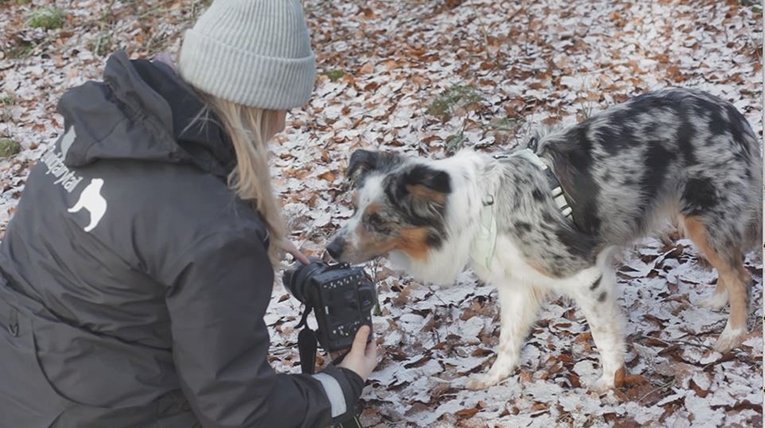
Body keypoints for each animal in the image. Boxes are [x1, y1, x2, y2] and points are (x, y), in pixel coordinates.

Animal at [326, 88, 760, 392]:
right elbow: (507, 339)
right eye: (355, 208)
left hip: (703, 217)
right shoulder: (517, 283)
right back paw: (716, 301)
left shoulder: (585, 272)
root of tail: (730, 112)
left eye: (377, 219)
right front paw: (495, 378)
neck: (479, 208)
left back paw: (731, 335)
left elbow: (603, 334)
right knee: (730, 267)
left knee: (742, 276)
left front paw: (609, 381)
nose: (330, 250)